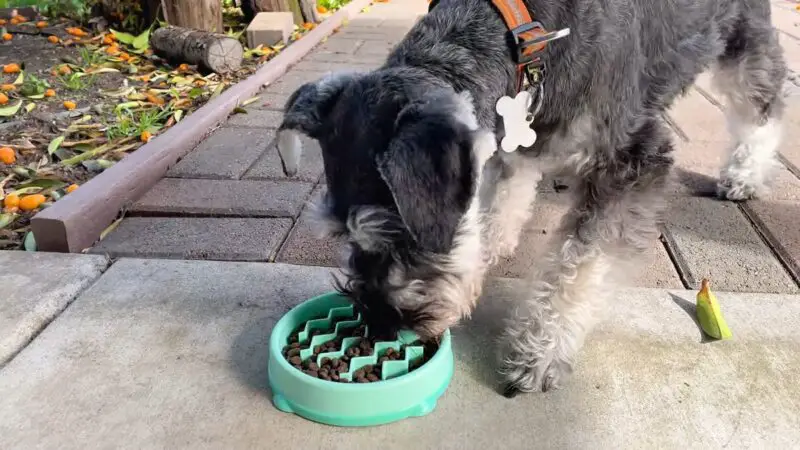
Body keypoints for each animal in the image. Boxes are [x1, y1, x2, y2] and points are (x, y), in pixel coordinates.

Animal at [276, 0, 788, 396]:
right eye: (339, 235)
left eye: (397, 236)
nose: (380, 322)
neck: (527, 36)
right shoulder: (514, 139)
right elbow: (504, 197)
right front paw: (491, 248)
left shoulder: (631, 163)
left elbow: (577, 267)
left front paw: (538, 355)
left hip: (747, 38)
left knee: (763, 103)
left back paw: (744, 174)